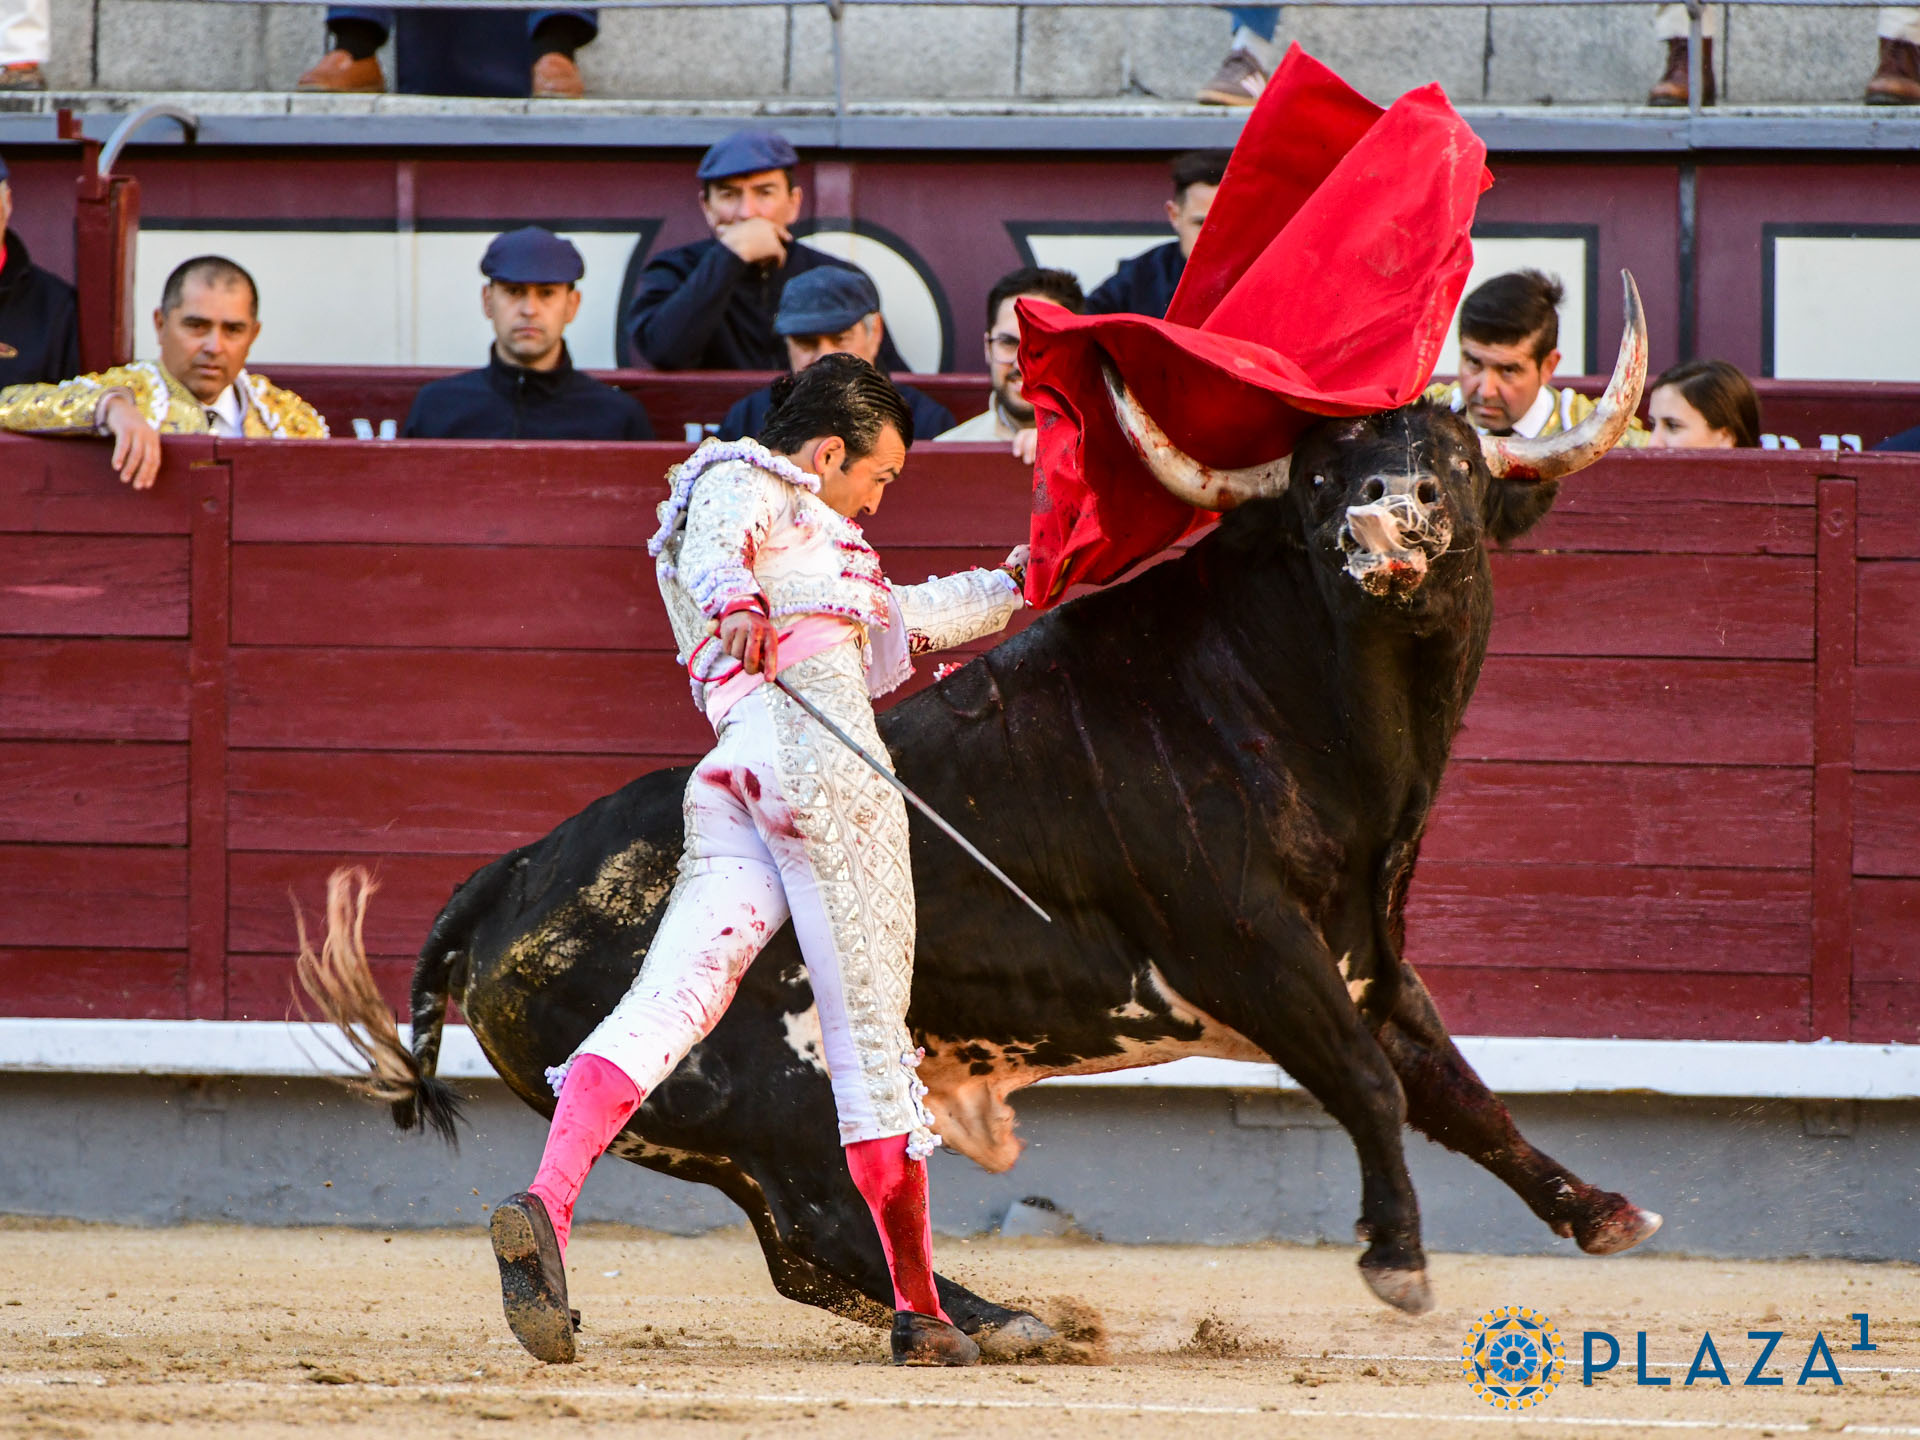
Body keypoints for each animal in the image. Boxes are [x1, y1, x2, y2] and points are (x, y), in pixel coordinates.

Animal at [303, 273, 1659, 1354]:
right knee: (821, 1212)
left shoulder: (1364, 954)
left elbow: (1462, 1092)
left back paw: (976, 1318)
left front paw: (1603, 1212)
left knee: (807, 1243)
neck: (1284, 706)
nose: (1388, 516)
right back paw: (992, 1318)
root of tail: (508, 875)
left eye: (1460, 463)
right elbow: (1375, 1087)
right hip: (764, 1089)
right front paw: (1398, 1263)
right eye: (1323, 475)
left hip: (732, 1125)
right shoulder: (1255, 952)